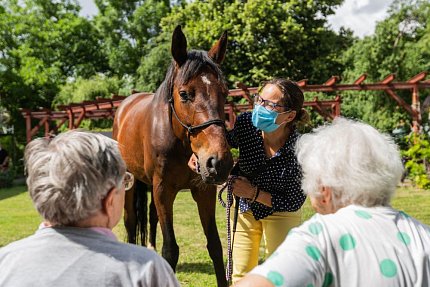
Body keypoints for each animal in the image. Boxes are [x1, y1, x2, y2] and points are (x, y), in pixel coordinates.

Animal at [111, 25, 232, 286]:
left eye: (225, 93)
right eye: (184, 94)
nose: (219, 162)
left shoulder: (204, 191)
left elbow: (215, 246)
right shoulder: (163, 190)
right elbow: (171, 249)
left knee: (150, 217)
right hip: (130, 183)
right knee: (130, 221)